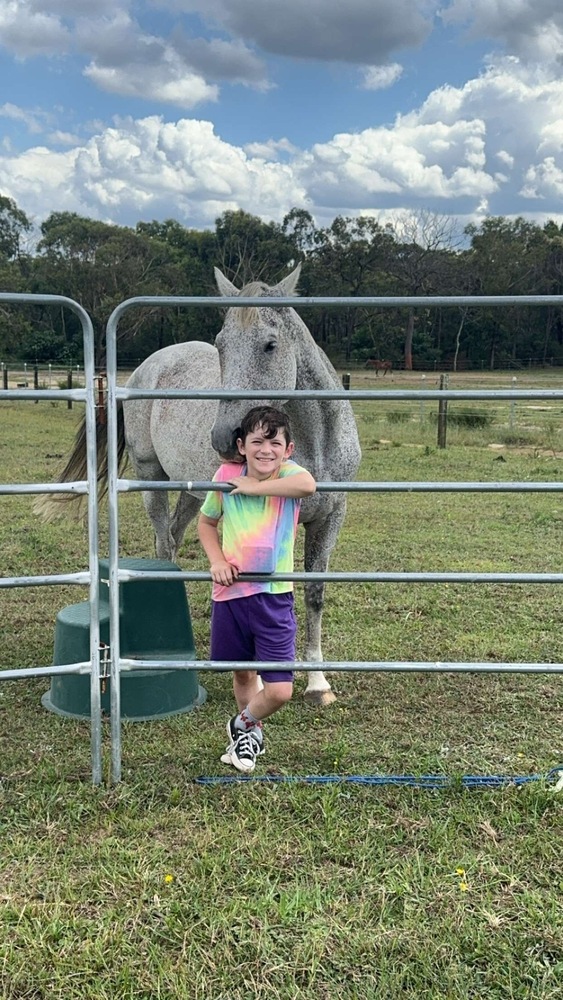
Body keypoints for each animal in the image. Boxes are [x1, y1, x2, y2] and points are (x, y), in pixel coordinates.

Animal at [38, 264, 362, 706]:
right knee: (164, 543)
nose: (225, 438)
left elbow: (315, 595)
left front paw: (317, 683)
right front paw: (263, 679)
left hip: (194, 496)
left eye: (270, 345)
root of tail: (150, 364)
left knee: (175, 538)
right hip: (150, 479)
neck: (314, 441)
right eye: (221, 346)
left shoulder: (331, 518)